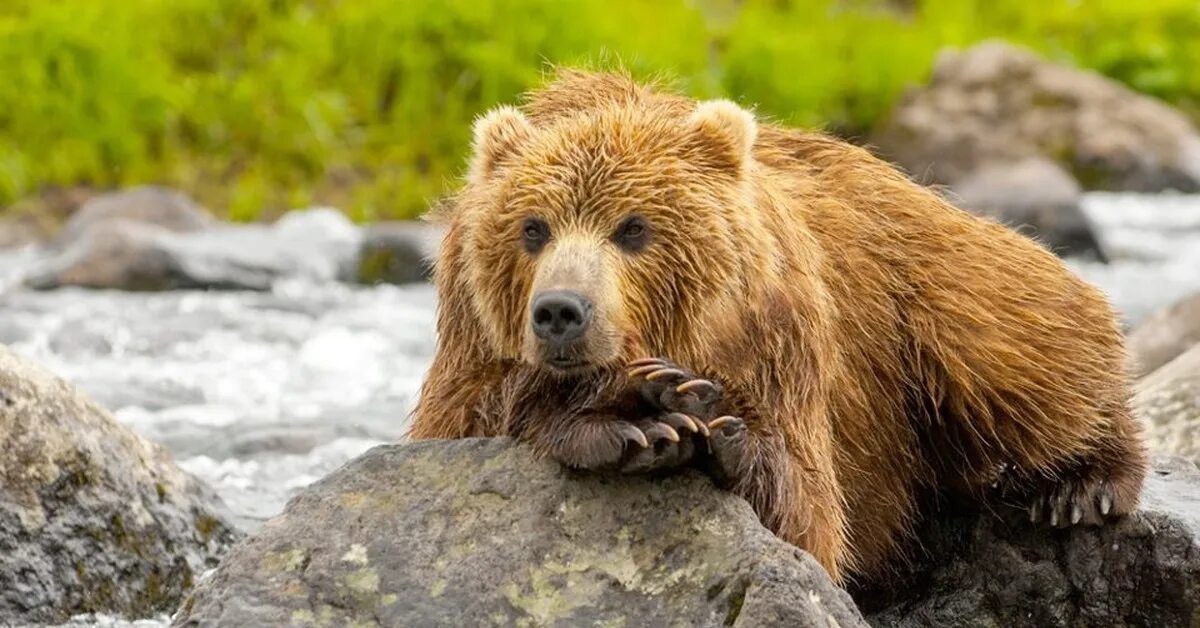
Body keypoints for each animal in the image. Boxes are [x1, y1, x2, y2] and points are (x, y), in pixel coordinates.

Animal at [408, 69, 1147, 585]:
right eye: (533, 228)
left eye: (634, 228)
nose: (562, 312)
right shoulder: (469, 336)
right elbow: (469, 420)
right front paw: (639, 417)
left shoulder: (780, 335)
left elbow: (806, 517)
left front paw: (695, 415)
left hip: (923, 287)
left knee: (1013, 349)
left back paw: (1084, 485)